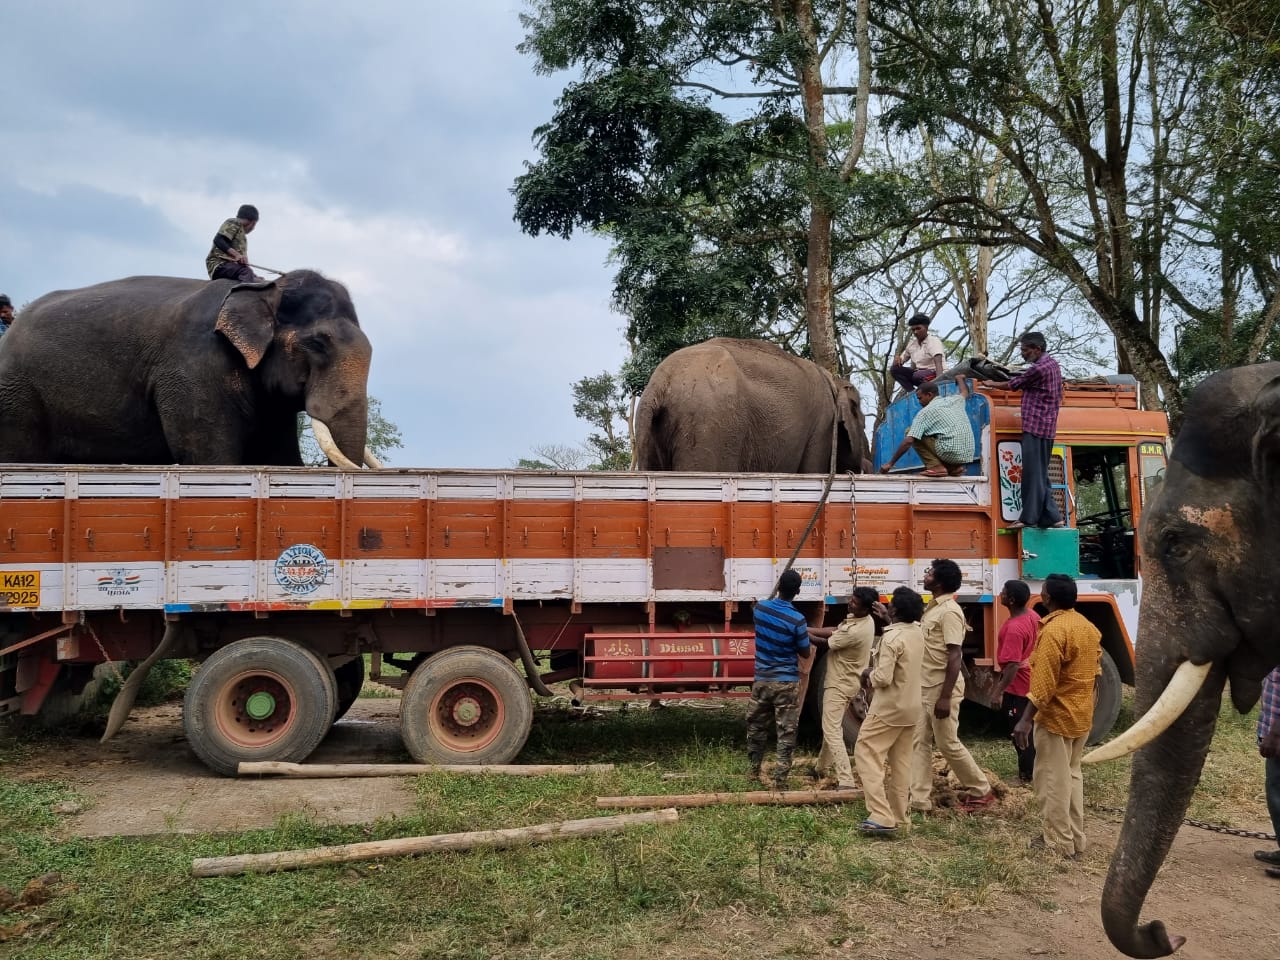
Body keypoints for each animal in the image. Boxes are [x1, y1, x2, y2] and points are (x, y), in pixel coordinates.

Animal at [0, 271, 376, 471]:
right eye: (318, 344)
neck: (269, 287)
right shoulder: (193, 369)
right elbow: (210, 457)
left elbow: (280, 457)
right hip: (17, 395)